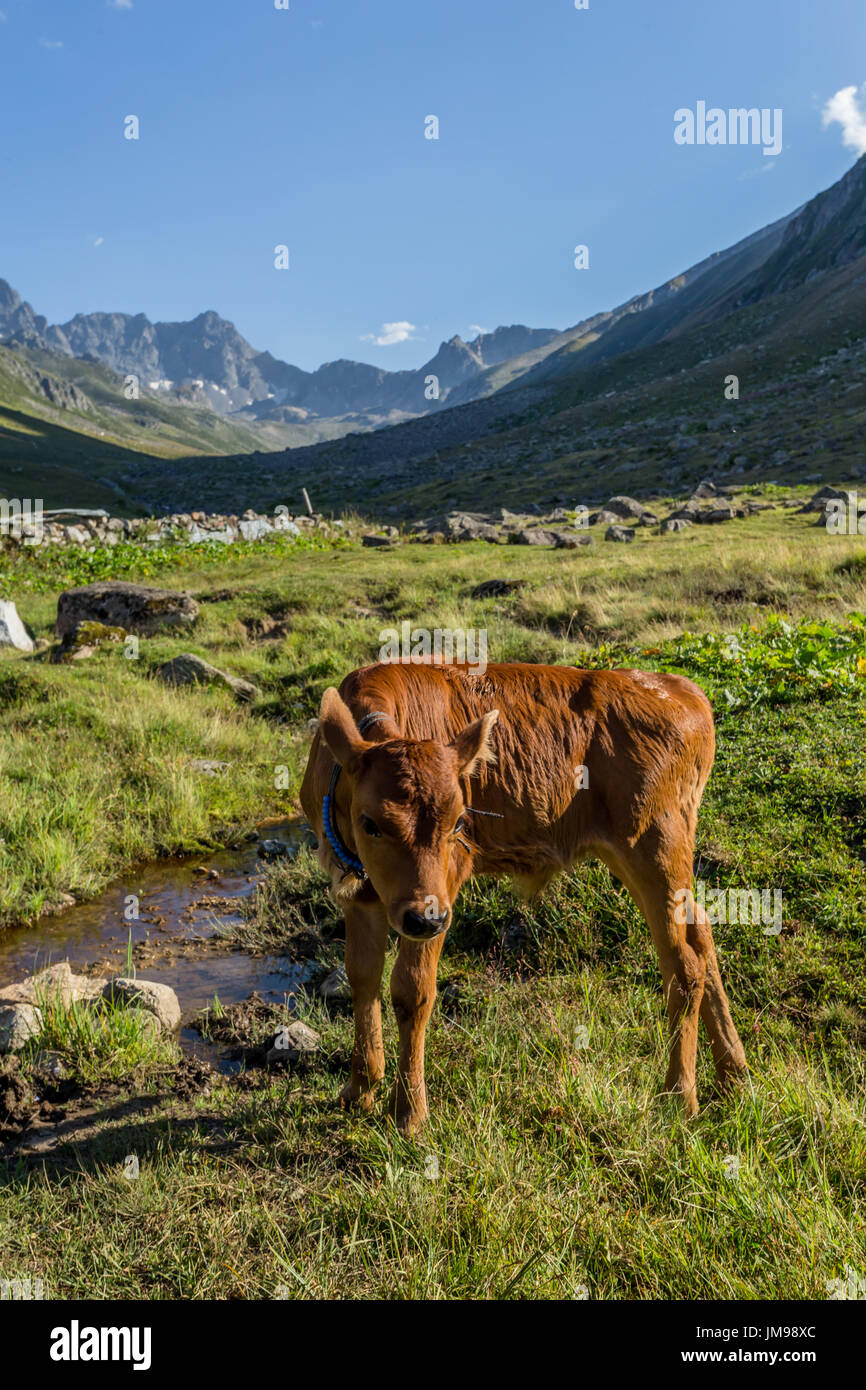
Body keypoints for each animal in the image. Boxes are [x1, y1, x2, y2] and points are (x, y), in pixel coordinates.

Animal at [299, 660, 747, 1135]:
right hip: (648, 855)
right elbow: (362, 976)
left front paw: (408, 1113)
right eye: (370, 823)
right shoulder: (360, 896)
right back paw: (733, 1073)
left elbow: (411, 989)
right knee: (701, 932)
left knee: (684, 967)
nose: (425, 920)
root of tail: (681, 690)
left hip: (656, 844)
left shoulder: (446, 885)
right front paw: (359, 1089)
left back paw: (679, 1096)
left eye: (459, 823)